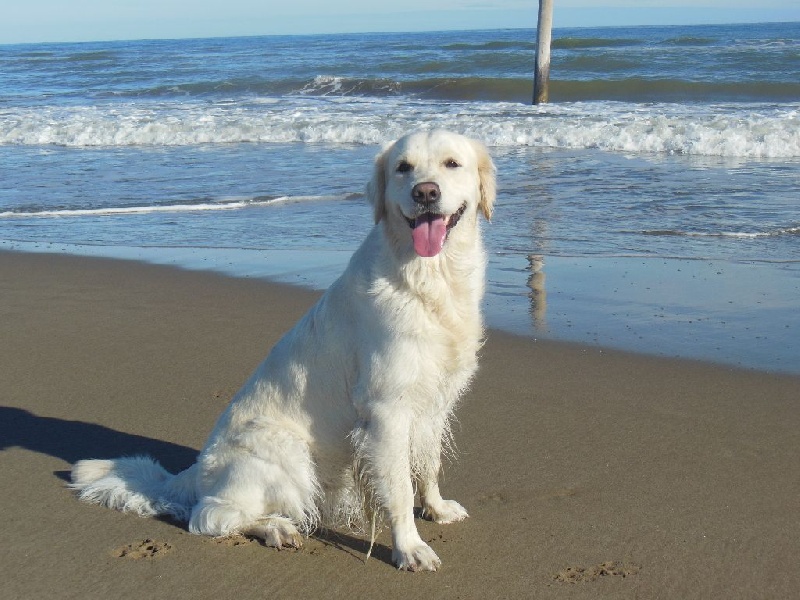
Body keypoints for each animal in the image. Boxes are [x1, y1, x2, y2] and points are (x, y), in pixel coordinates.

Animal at [70, 129, 494, 568]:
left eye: (451, 164)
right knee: (210, 516)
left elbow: (428, 464)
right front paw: (409, 547)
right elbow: (397, 488)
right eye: (403, 167)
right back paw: (277, 528)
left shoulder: (435, 400)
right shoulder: (386, 408)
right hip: (285, 450)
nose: (425, 192)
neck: (431, 277)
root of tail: (195, 470)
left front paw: (437, 509)